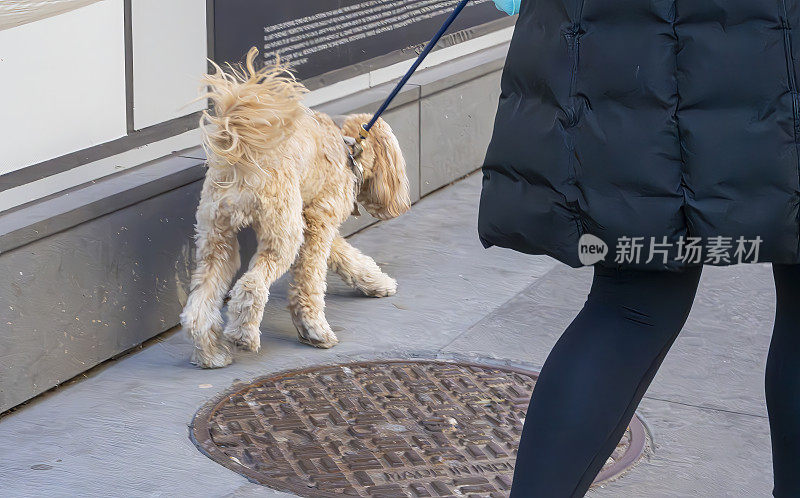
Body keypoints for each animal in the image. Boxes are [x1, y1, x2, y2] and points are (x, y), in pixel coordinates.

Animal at [179, 48, 410, 368]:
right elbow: (309, 282)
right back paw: (243, 335)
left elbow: (348, 257)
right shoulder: (317, 224)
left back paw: (210, 355)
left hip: (217, 239)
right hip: (282, 234)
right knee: (251, 286)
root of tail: (241, 157)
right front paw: (313, 329)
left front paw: (375, 282)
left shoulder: (313, 220)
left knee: (199, 307)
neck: (349, 147)